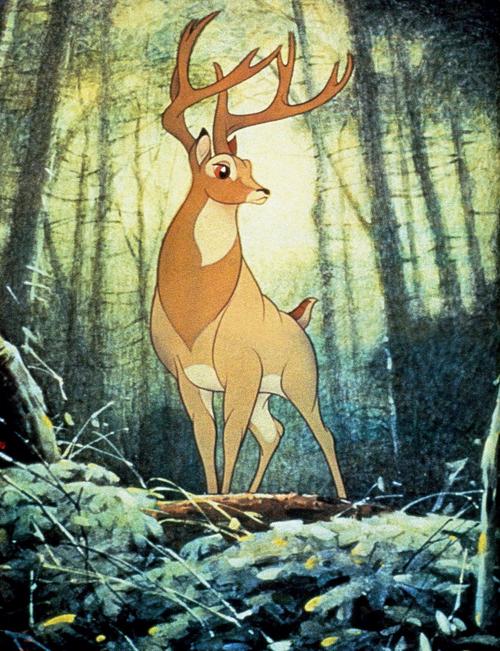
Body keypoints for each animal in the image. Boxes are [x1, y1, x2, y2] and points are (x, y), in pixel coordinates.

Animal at [150, 12, 353, 498]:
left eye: (250, 165)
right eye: (222, 168)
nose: (263, 190)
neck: (196, 311)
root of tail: (299, 319)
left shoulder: (242, 369)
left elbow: (231, 435)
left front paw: (224, 498)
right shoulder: (186, 375)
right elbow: (206, 434)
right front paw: (213, 497)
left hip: (300, 378)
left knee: (322, 431)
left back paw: (342, 496)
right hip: (266, 391)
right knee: (273, 430)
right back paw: (256, 491)